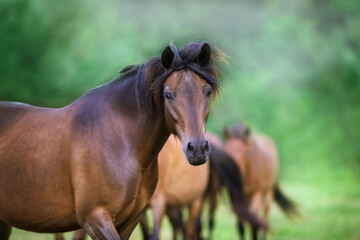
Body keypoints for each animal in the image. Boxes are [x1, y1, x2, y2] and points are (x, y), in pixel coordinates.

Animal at [0, 41, 224, 240]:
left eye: (207, 91)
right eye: (168, 95)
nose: (197, 148)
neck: (122, 142)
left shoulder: (129, 221)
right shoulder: (95, 219)